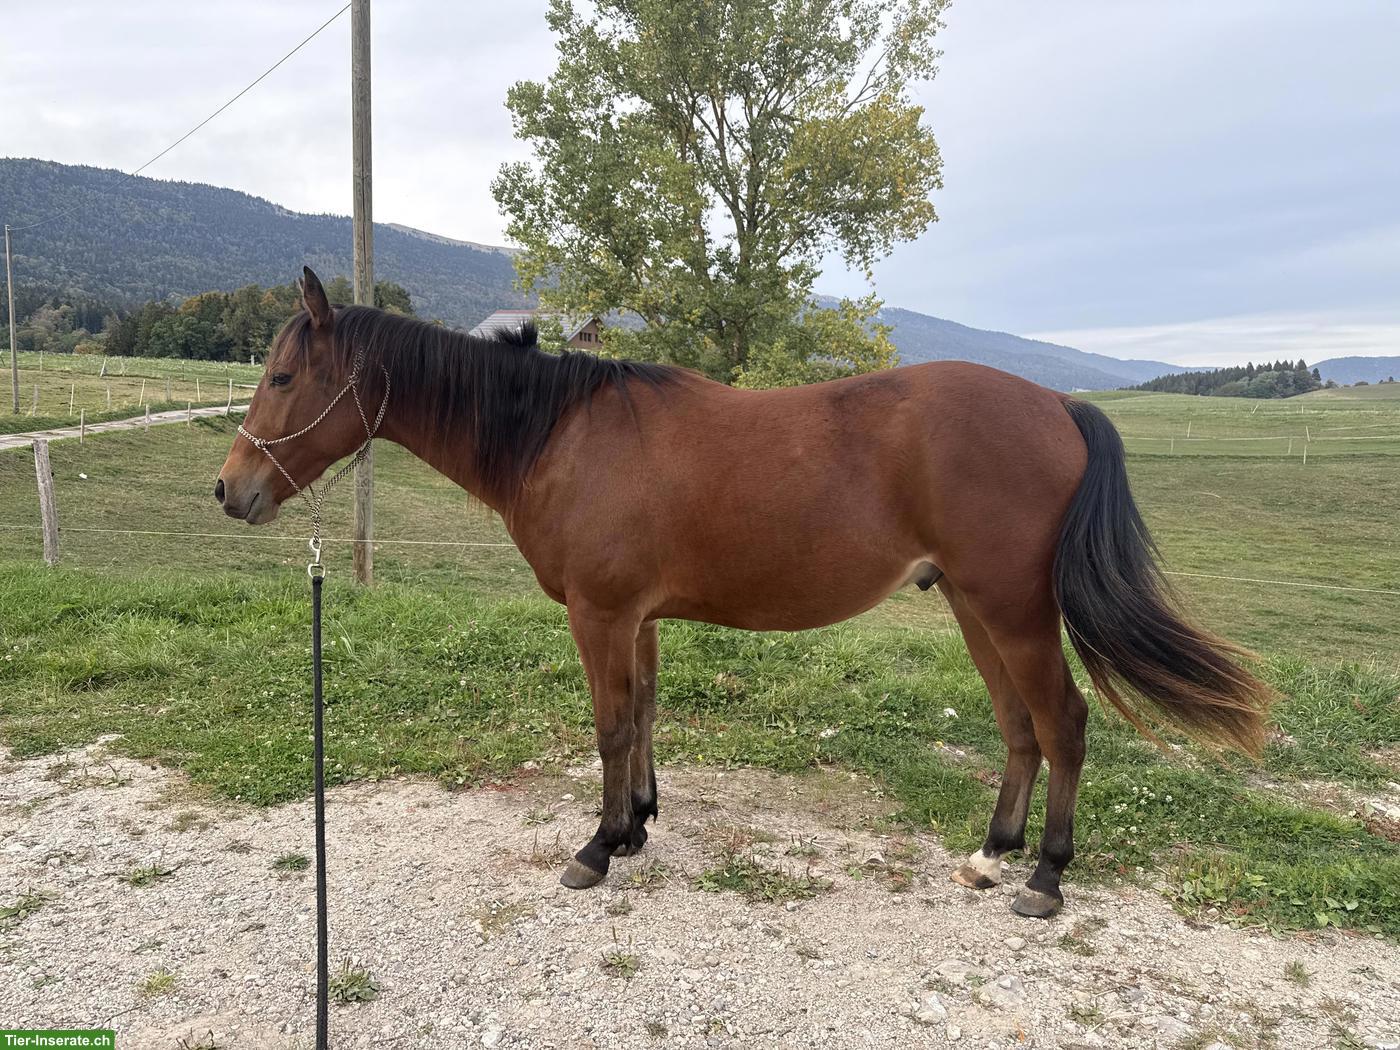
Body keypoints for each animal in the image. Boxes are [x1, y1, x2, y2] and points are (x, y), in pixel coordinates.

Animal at [216, 267, 1273, 918]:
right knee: (1020, 727)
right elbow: (644, 714)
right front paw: (637, 827)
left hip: (1012, 610)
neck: (557, 433)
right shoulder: (636, 618)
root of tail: (1056, 402)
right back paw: (992, 852)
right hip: (975, 609)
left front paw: (597, 847)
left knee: (1063, 723)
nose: (231, 490)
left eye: (282, 375)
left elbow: (610, 725)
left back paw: (1046, 877)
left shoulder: (600, 615)